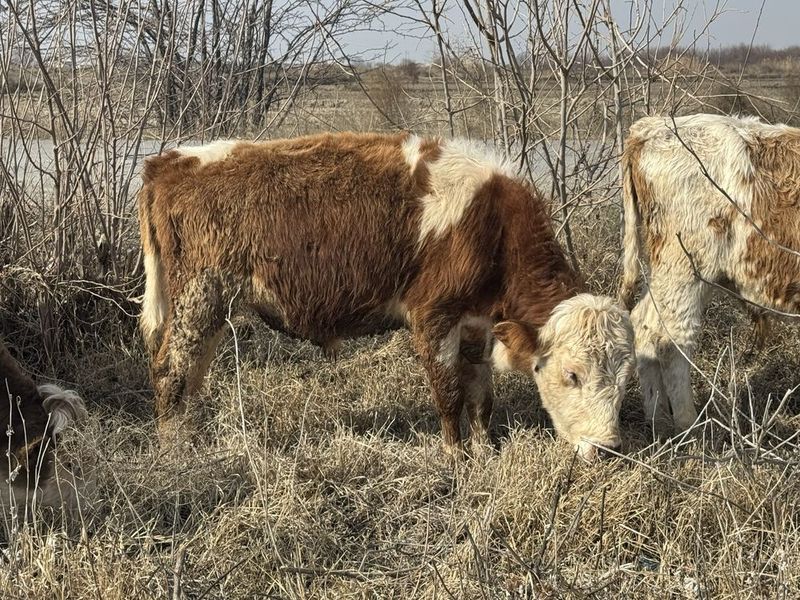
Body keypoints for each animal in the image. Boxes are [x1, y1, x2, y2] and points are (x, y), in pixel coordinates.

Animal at [141, 131, 636, 460]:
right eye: (572, 375)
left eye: (626, 378)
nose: (609, 449)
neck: (491, 222)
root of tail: (170, 163)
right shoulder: (433, 316)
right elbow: (449, 393)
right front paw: (455, 459)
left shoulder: (476, 323)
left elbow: (480, 394)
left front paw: (485, 451)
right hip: (199, 299)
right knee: (170, 371)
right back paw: (174, 452)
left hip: (208, 309)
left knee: (192, 376)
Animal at [620, 116, 800, 436]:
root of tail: (651, 126)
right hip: (685, 269)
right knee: (670, 340)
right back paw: (689, 426)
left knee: (644, 325)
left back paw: (659, 422)